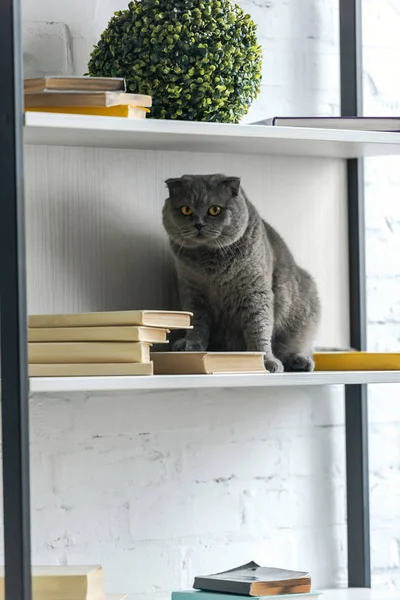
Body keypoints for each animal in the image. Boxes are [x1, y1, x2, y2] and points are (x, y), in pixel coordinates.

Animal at [161, 171, 320, 372]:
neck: (209, 263)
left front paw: (265, 361)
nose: (198, 224)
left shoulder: (256, 292)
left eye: (214, 210)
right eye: (186, 210)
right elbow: (196, 323)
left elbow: (259, 328)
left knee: (300, 347)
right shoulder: (192, 292)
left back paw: (301, 361)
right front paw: (190, 345)